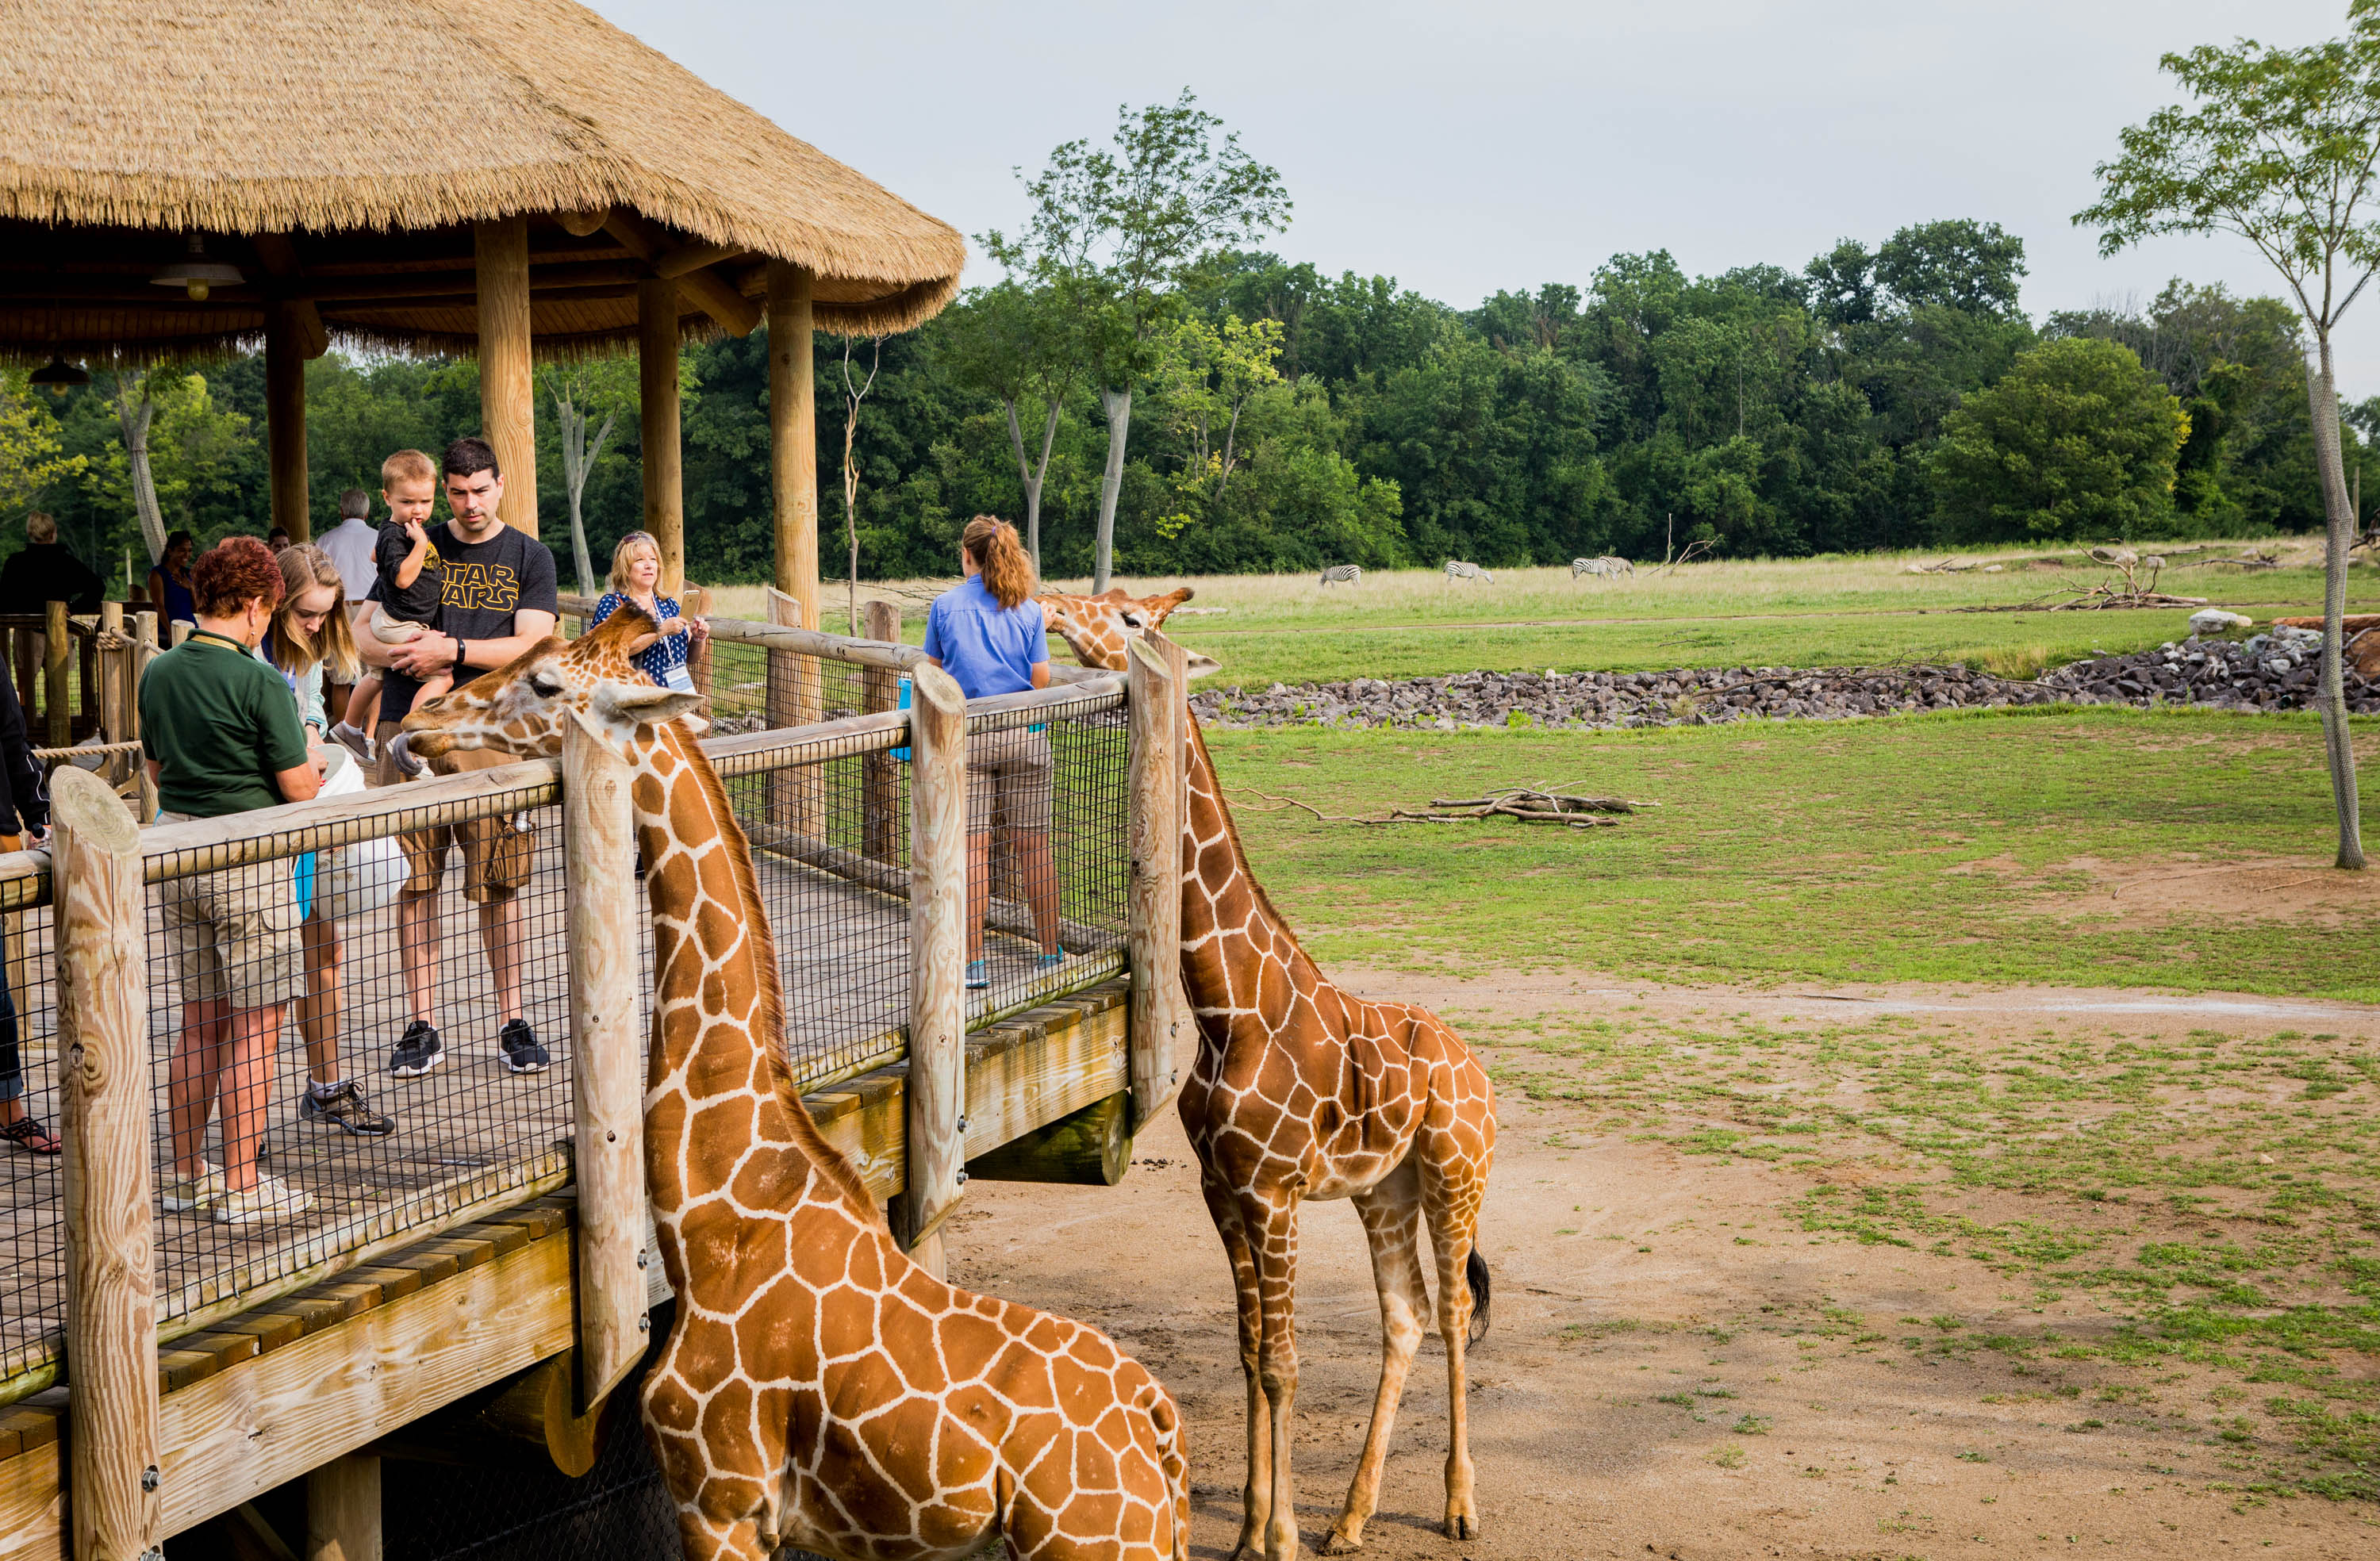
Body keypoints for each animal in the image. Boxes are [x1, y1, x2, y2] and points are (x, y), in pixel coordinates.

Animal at [401, 608, 1190, 1561]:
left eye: (546, 682)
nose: (422, 720)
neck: (713, 1220)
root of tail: (1158, 1424)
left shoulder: (720, 1497)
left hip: (1094, 1539)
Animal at [1060, 627, 1498, 1561]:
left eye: (1128, 620)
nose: (1047, 617)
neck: (1227, 1008)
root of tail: (1478, 1068)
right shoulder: (1221, 1187)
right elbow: (1248, 1349)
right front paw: (1251, 1533)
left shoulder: (1274, 1191)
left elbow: (1283, 1362)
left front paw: (1280, 1536)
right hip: (1386, 1189)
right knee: (1405, 1316)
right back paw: (1353, 1517)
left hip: (1458, 1174)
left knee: (1452, 1312)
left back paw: (1457, 1507)